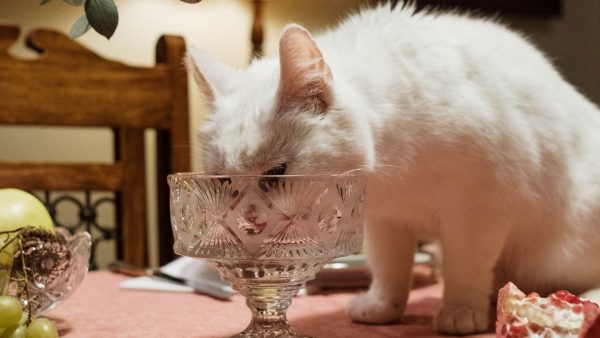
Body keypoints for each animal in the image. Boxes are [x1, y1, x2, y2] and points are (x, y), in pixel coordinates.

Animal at [188, 2, 600, 336]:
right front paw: (383, 306)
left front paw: (461, 310)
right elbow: (390, 267)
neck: (391, 177)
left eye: (277, 172)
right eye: (224, 180)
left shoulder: (479, 210)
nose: (249, 220)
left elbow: (465, 265)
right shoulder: (385, 220)